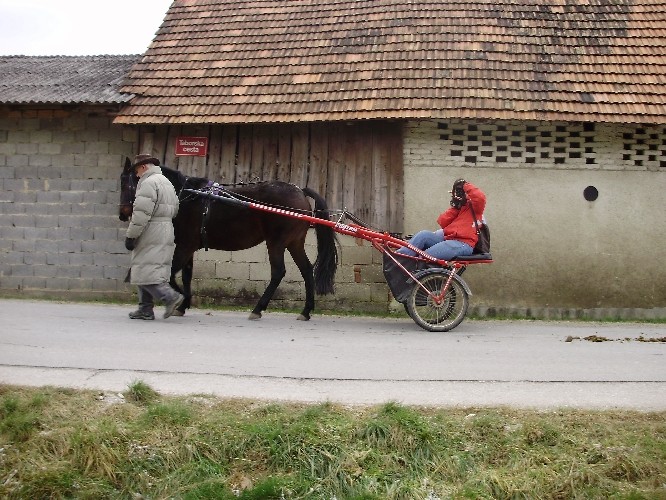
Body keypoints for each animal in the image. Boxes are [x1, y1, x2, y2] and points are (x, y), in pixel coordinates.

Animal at [117, 156, 338, 320]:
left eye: (125, 183)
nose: (123, 213)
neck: (186, 196)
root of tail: (299, 191)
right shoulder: (189, 247)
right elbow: (186, 275)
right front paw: (183, 303)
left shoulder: (185, 246)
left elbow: (171, 274)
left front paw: (178, 299)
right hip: (294, 243)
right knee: (307, 270)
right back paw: (306, 311)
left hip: (276, 242)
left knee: (278, 272)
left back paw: (258, 309)